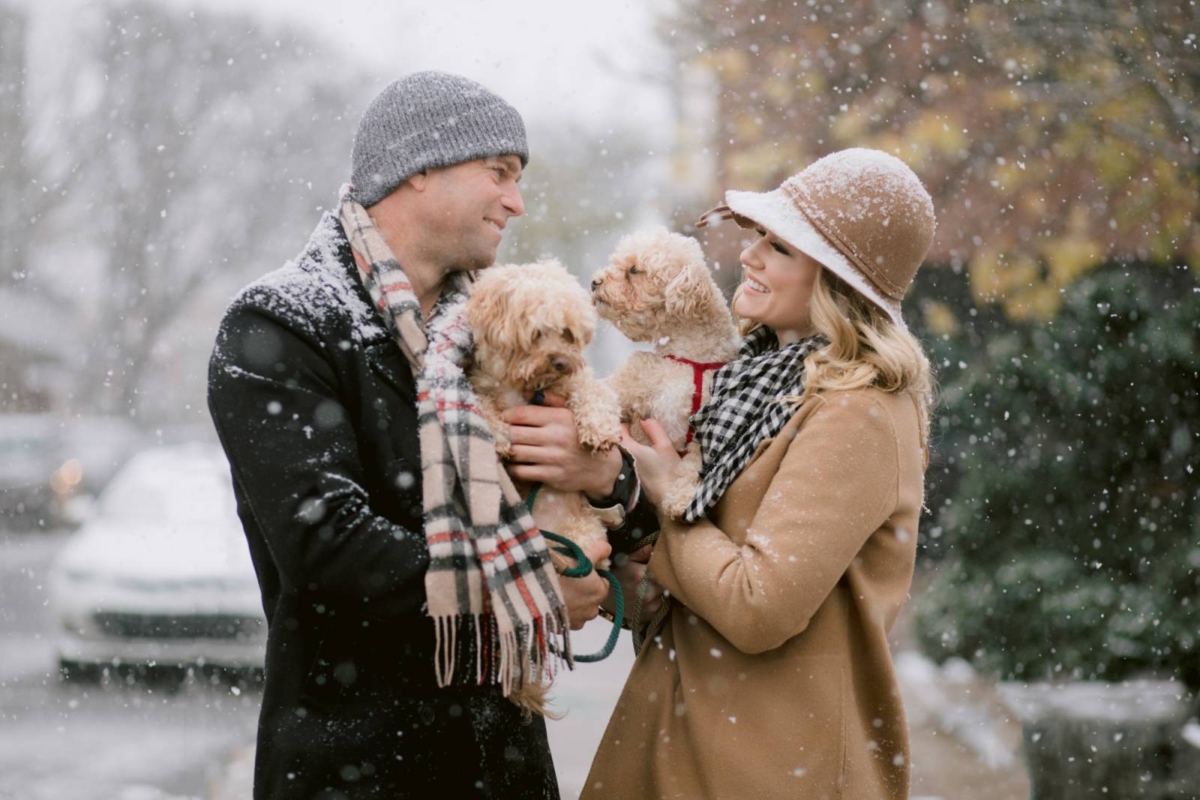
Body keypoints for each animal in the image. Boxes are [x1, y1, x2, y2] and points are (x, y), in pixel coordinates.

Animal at [590, 227, 739, 522]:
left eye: (634, 269)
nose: (594, 281)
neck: (688, 359)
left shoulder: (702, 425)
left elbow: (693, 461)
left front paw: (680, 498)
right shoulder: (628, 386)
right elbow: (599, 396)